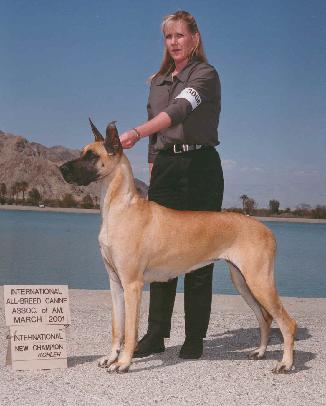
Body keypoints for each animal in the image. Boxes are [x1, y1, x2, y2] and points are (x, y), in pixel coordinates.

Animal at [59, 119, 296, 374]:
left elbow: (130, 330)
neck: (120, 208)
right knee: (265, 318)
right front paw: (111, 357)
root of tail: (268, 230)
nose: (61, 169)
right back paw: (260, 352)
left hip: (259, 281)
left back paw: (286, 363)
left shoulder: (132, 285)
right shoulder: (115, 282)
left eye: (92, 156)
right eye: (83, 152)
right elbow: (117, 327)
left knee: (287, 322)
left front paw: (123, 362)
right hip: (243, 282)